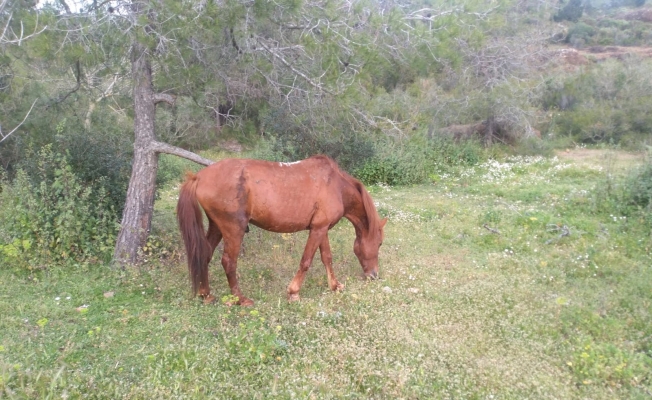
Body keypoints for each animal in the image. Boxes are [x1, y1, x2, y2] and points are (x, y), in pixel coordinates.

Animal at [176, 155, 387, 306]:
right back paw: (240, 299)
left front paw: (335, 286)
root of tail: (198, 177)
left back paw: (206, 295)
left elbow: (327, 258)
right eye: (379, 243)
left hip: (216, 227)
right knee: (228, 262)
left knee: (205, 254)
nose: (374, 275)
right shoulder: (318, 230)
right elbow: (306, 261)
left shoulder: (321, 228)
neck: (336, 186)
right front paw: (293, 293)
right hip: (233, 229)